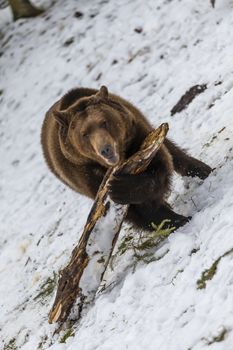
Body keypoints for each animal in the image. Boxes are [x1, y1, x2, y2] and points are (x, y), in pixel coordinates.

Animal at [41, 86, 212, 231]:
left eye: (104, 122)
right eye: (84, 133)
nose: (105, 149)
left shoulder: (138, 136)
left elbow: (158, 166)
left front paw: (119, 188)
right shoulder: (83, 172)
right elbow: (133, 209)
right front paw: (172, 220)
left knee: (173, 152)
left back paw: (201, 171)